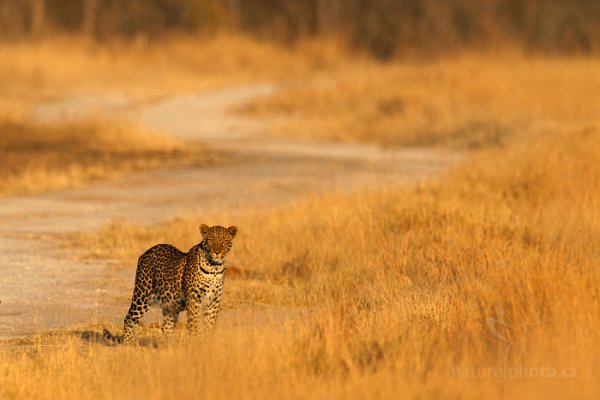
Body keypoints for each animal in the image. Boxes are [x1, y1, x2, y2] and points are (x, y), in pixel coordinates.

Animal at [103, 223, 237, 346]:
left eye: (224, 241)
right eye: (210, 240)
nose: (217, 252)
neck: (214, 268)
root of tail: (146, 252)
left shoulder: (214, 301)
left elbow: (210, 326)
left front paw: (209, 344)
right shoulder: (194, 299)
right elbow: (194, 325)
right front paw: (197, 344)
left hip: (171, 304)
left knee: (166, 327)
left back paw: (173, 347)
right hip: (142, 295)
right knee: (129, 318)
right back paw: (128, 344)